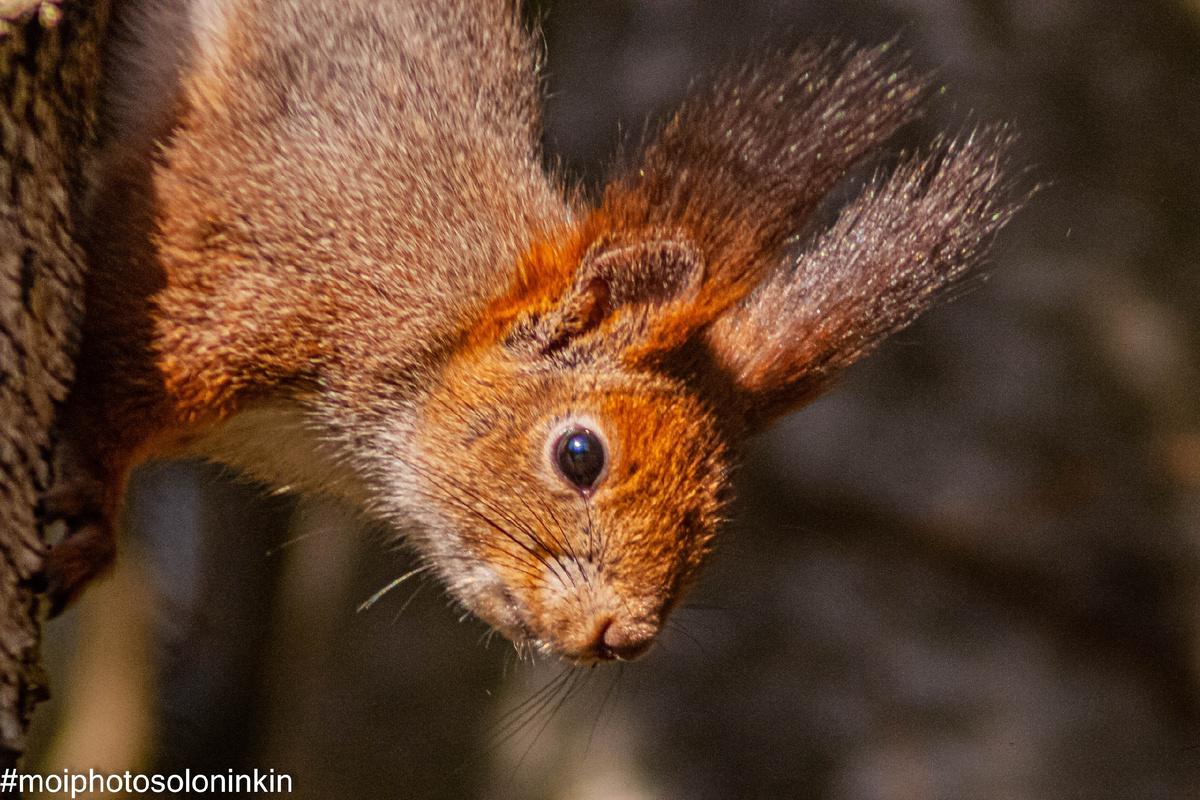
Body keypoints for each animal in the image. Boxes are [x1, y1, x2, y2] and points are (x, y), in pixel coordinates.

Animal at [42, 0, 1021, 664]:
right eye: (580, 455)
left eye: (715, 517)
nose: (621, 637)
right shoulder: (230, 279)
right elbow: (116, 373)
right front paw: (88, 509)